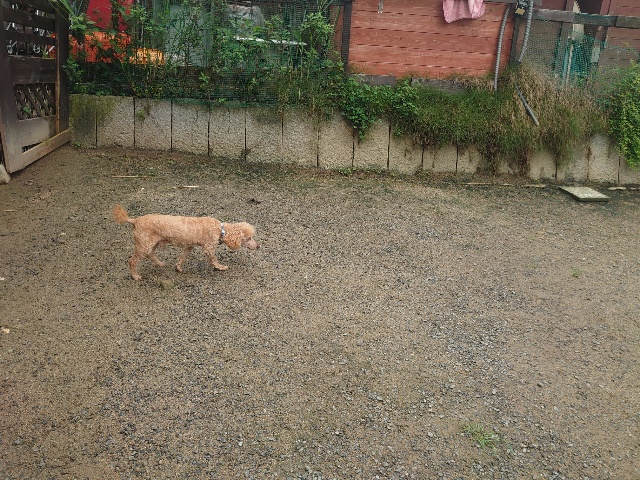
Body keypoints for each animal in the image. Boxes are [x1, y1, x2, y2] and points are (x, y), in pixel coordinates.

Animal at [113, 205, 259, 281]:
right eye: (248, 238)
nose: (258, 246)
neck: (220, 229)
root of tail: (135, 220)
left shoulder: (189, 246)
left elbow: (182, 257)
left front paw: (178, 267)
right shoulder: (208, 247)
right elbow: (214, 259)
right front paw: (220, 267)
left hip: (152, 243)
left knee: (150, 254)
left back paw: (160, 263)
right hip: (144, 244)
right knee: (132, 260)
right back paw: (135, 276)